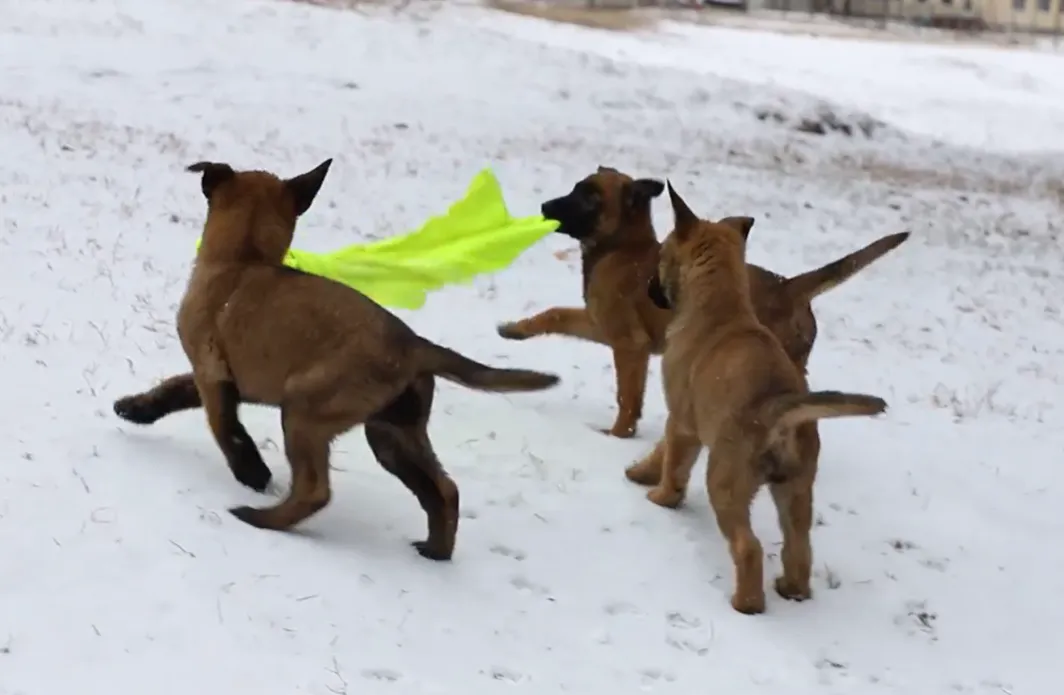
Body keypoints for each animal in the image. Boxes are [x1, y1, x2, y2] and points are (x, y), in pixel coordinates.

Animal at [114, 158, 566, 557]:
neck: (244, 260)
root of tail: (412, 344)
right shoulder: (220, 379)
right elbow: (173, 390)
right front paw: (134, 408)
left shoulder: (213, 373)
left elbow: (227, 430)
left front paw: (253, 473)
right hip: (392, 435)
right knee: (444, 491)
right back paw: (435, 551)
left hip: (304, 413)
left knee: (317, 489)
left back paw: (261, 518)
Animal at [497, 167, 906, 438]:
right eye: (575, 189)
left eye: (588, 197)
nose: (545, 205)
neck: (621, 247)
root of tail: (789, 287)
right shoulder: (598, 323)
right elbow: (554, 314)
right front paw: (514, 329)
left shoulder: (629, 344)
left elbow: (628, 397)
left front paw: (617, 435)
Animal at [621, 183, 889, 613]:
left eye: (660, 256)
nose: (649, 289)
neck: (722, 305)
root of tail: (779, 408)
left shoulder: (683, 420)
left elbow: (672, 462)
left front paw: (657, 492)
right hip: (796, 491)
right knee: (799, 546)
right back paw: (792, 589)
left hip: (726, 482)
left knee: (748, 546)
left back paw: (747, 602)